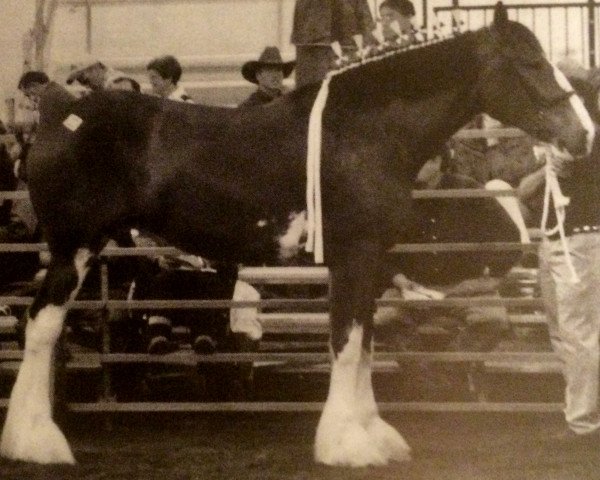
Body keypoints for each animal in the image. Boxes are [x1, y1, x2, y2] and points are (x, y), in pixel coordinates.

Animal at [0, 2, 592, 468]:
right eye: (529, 63)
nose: (583, 135)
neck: (363, 130)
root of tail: (58, 114)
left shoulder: (373, 264)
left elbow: (364, 344)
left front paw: (373, 435)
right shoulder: (353, 257)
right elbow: (346, 347)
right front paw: (345, 445)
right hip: (74, 247)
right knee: (42, 328)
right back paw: (37, 443)